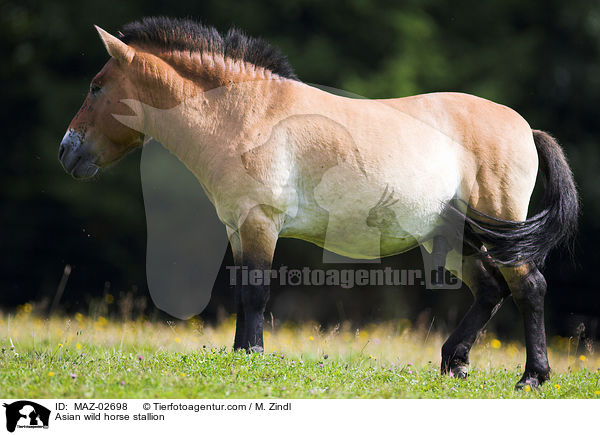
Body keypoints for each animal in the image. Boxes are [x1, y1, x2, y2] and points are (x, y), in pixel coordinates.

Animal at [59, 17, 576, 390]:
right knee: (490, 289)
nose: (66, 151)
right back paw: (455, 363)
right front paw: (241, 354)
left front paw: (252, 357)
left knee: (528, 287)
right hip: (457, 237)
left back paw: (532, 377)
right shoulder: (236, 227)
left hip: (499, 229)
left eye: (96, 87)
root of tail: (525, 127)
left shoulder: (260, 222)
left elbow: (255, 291)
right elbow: (242, 289)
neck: (245, 115)